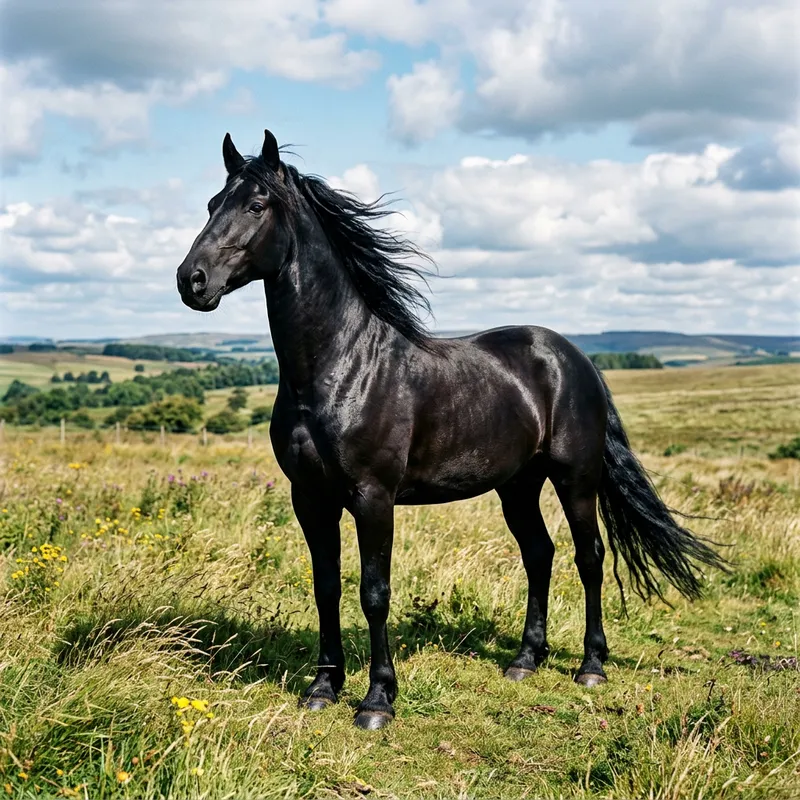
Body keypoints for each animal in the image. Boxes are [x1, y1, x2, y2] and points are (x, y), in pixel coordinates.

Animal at [176, 129, 727, 730]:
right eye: (211, 203)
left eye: (256, 206)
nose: (191, 280)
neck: (338, 367)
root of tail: (575, 358)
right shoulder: (310, 498)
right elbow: (326, 587)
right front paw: (323, 688)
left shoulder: (373, 497)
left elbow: (374, 593)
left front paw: (377, 700)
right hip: (517, 485)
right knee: (540, 554)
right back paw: (525, 660)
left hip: (575, 478)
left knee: (590, 557)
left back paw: (590, 666)